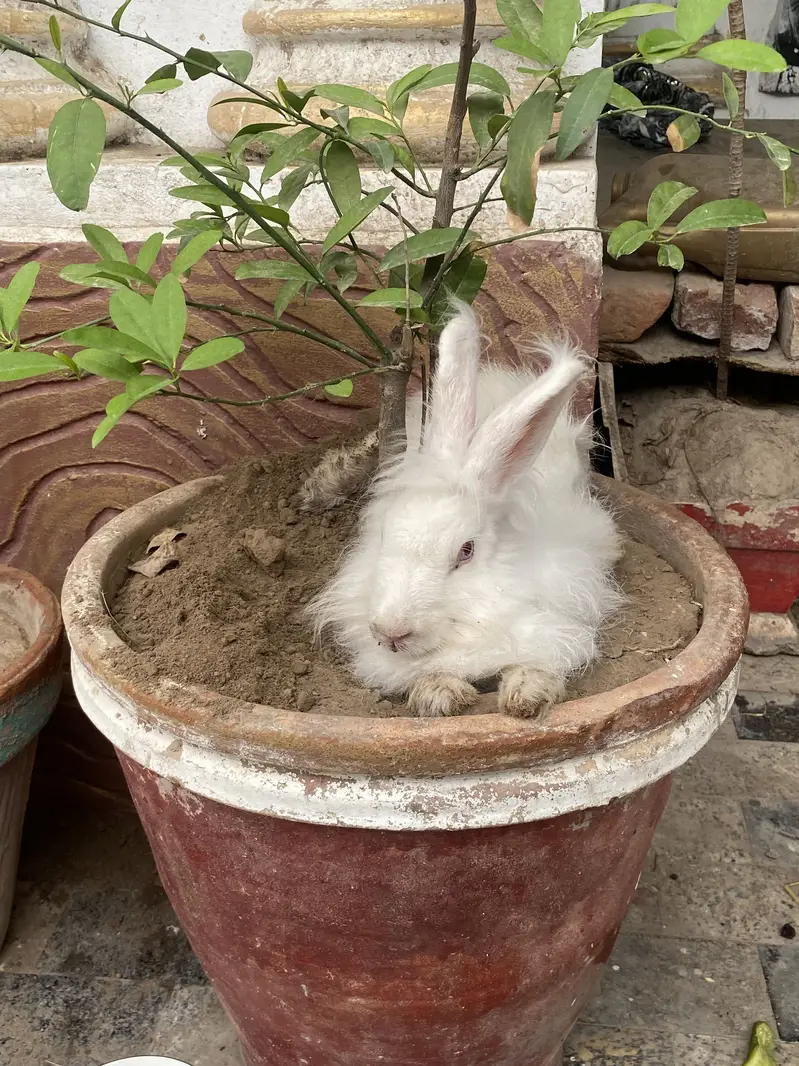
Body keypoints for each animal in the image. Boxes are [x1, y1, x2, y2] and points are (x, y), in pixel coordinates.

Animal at [308, 302, 623, 719]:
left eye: (466, 551)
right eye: (383, 534)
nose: (391, 633)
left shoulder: (559, 618)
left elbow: (538, 660)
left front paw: (527, 696)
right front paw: (440, 695)